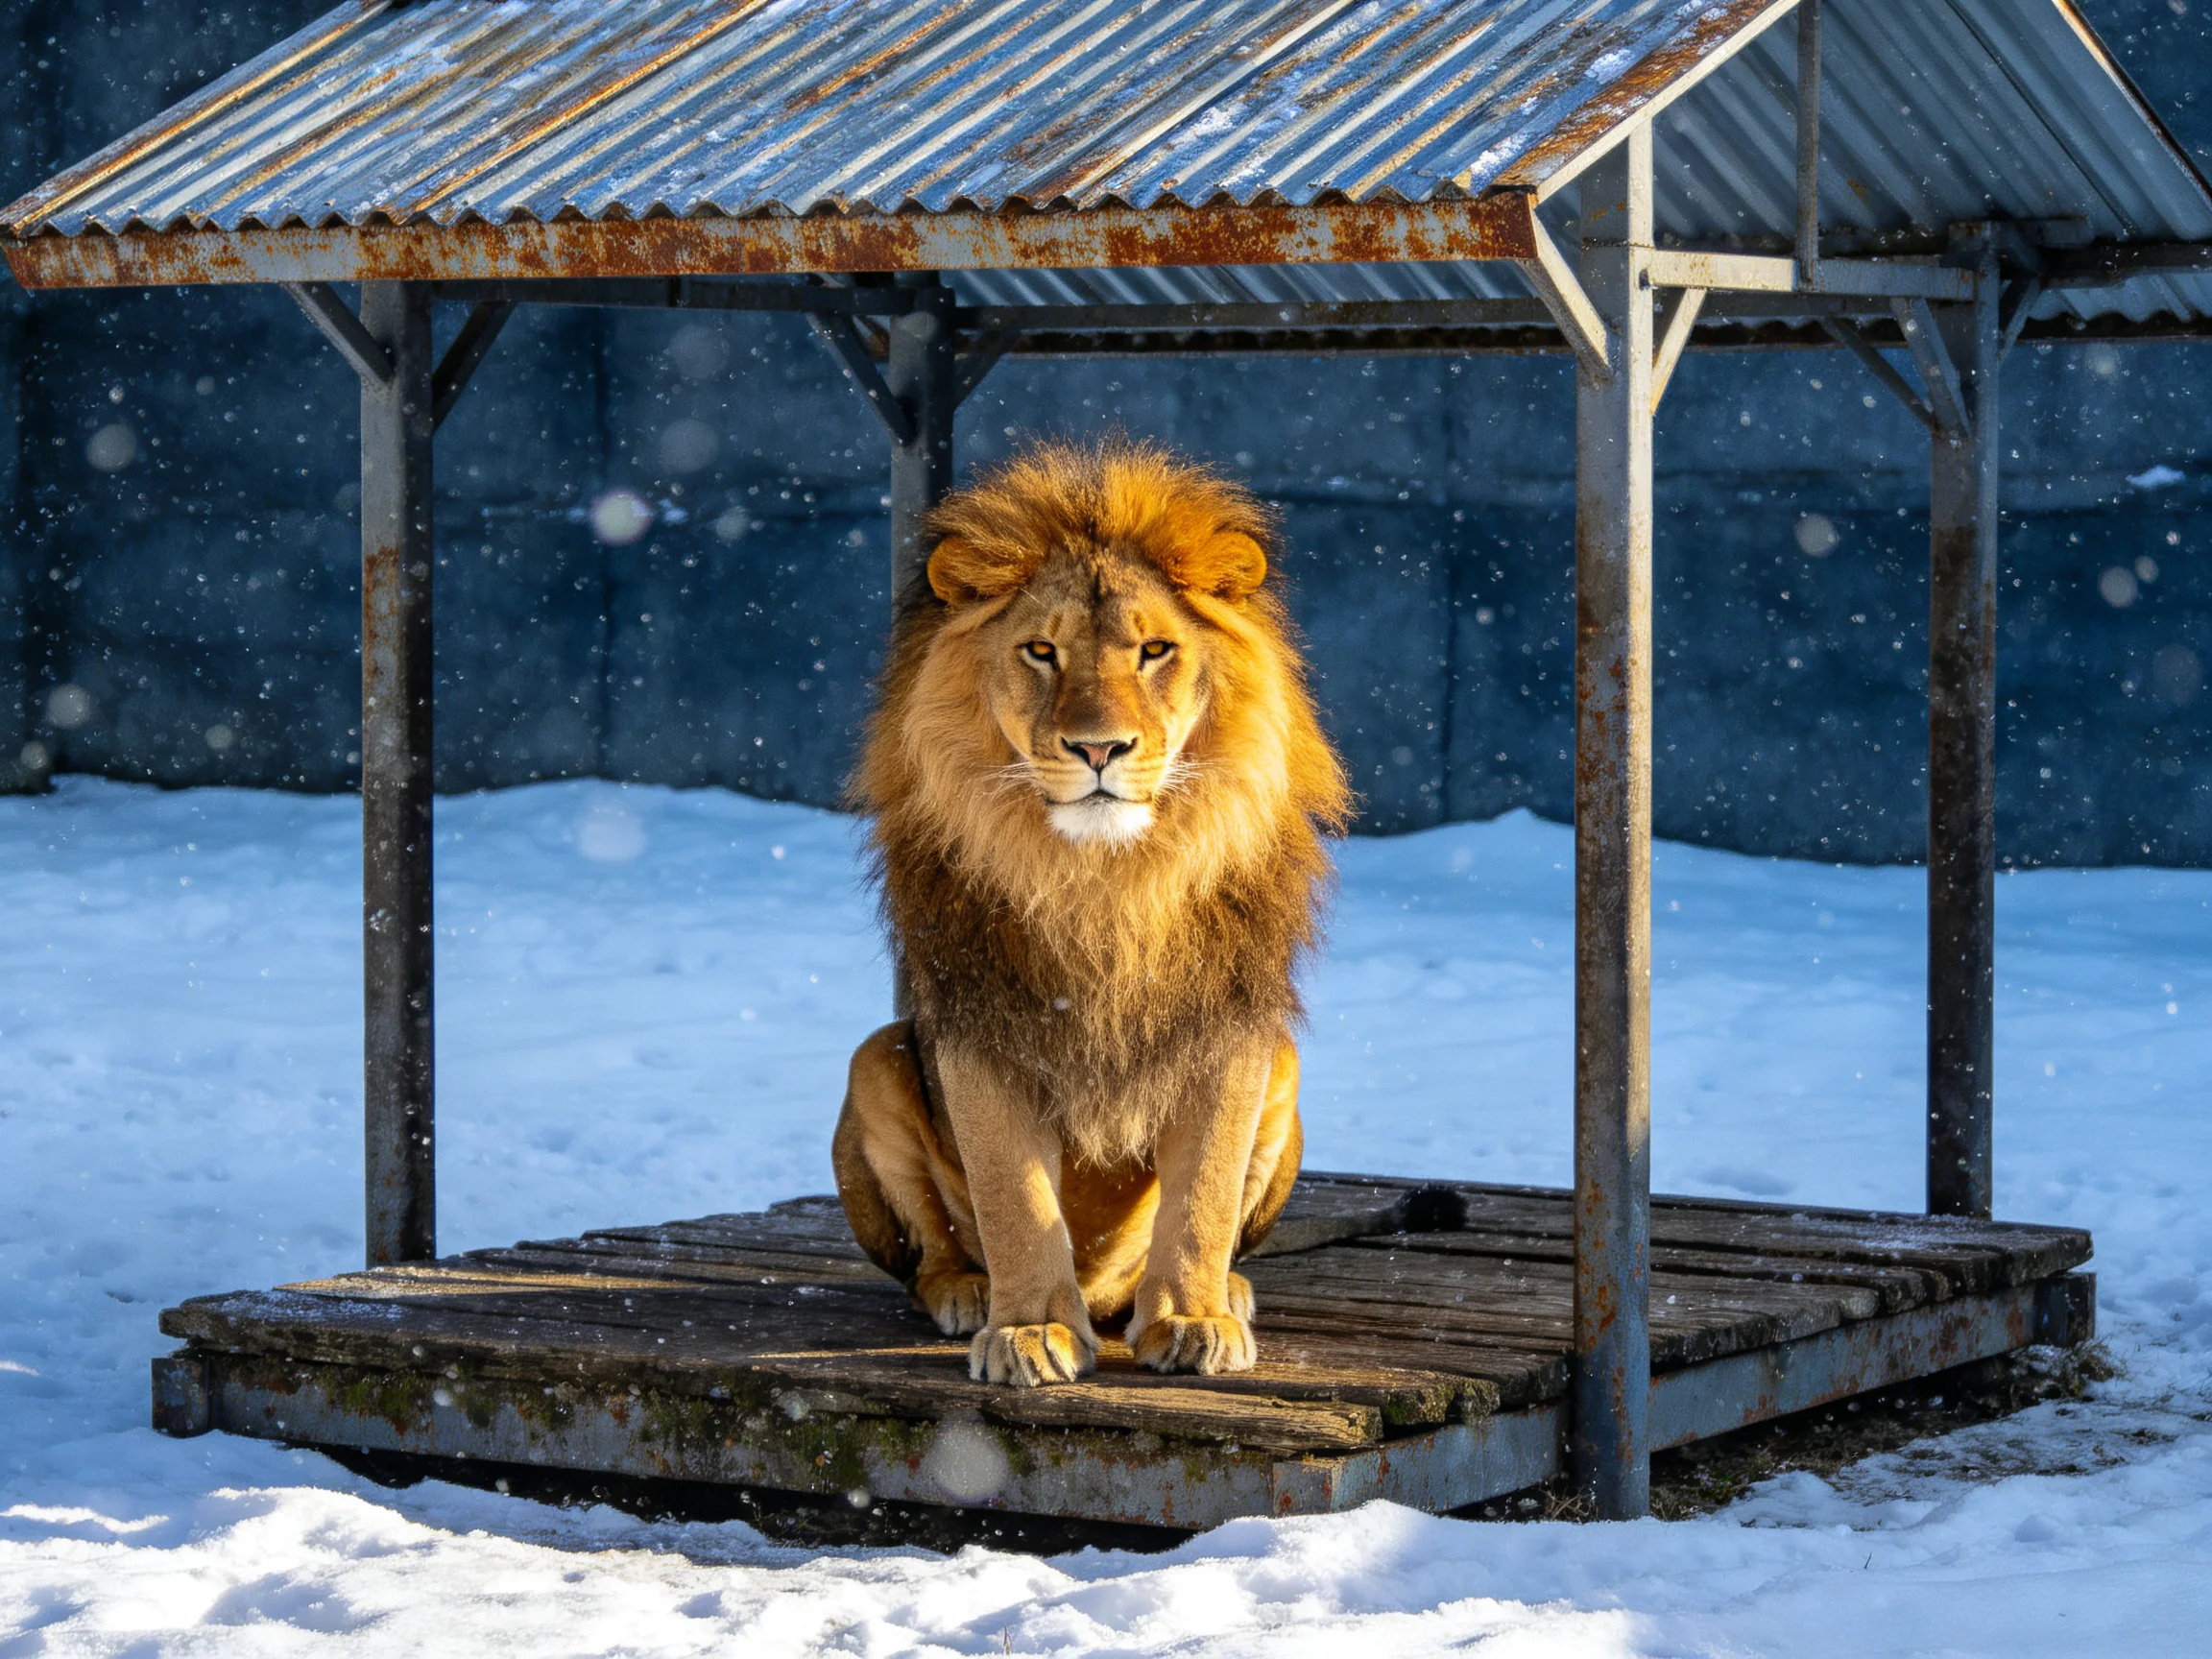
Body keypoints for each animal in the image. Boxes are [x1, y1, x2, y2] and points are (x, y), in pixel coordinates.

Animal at [831, 440, 1351, 1388]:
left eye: (1155, 650)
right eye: (1042, 650)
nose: (1099, 748)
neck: (1107, 879)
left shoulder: (1230, 1026)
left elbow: (1202, 1193)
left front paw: (1192, 1317)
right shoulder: (983, 1023)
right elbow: (1014, 1195)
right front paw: (1032, 1328)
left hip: (1285, 1068)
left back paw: (1227, 1292)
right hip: (876, 1059)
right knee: (932, 1253)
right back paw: (968, 1294)